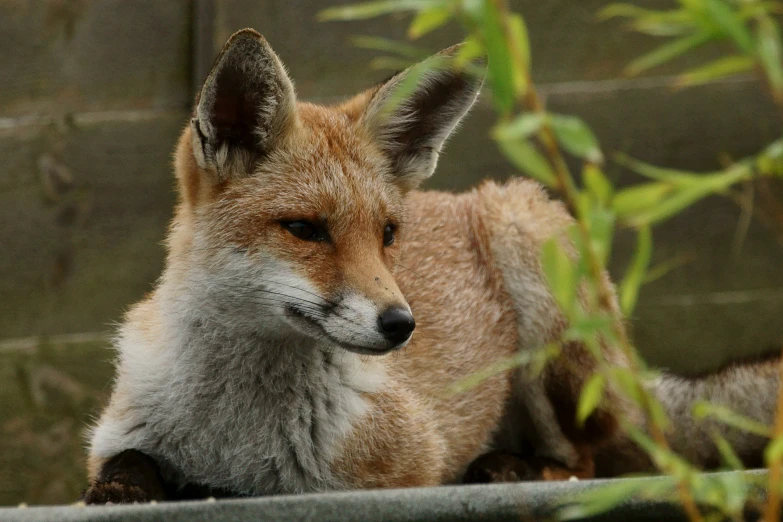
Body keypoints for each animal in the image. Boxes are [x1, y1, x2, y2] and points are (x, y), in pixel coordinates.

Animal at [82, 28, 780, 500]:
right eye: (305, 230)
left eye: (388, 234)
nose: (401, 325)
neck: (238, 436)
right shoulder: (116, 437)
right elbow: (126, 467)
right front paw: (123, 490)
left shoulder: (408, 465)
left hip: (537, 274)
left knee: (581, 461)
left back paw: (506, 469)